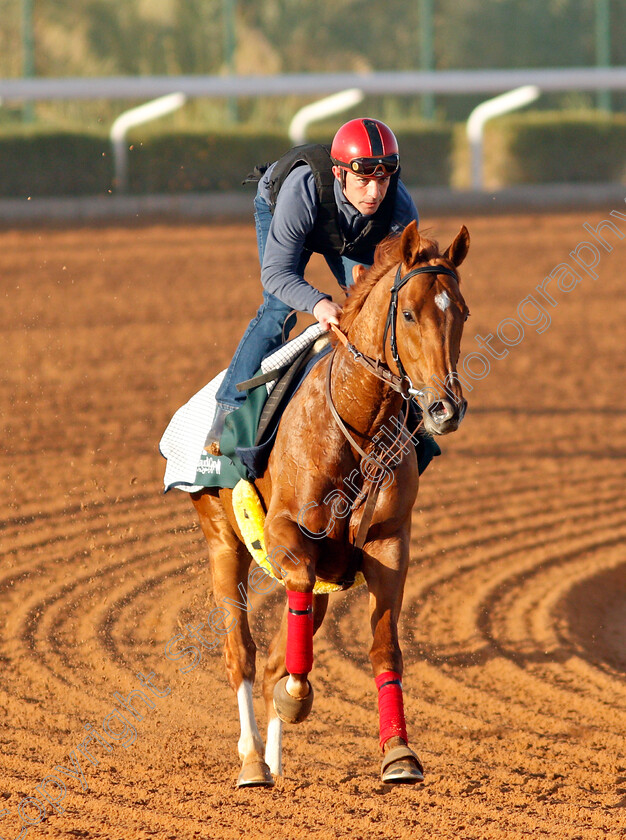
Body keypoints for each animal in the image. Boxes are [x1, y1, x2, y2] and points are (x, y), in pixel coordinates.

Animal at [190, 218, 468, 788]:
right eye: (409, 313)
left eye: (463, 311)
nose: (444, 408)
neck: (356, 424)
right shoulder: (287, 536)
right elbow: (285, 637)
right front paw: (296, 698)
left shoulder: (387, 544)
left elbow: (384, 647)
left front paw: (399, 753)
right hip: (222, 540)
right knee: (241, 654)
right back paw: (253, 761)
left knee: (272, 656)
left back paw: (273, 758)